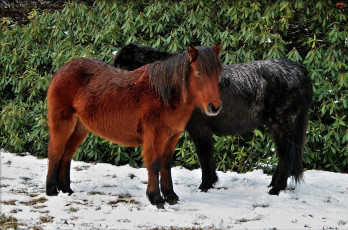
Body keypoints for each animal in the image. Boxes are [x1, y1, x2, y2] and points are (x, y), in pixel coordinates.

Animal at [45, 43, 223, 208]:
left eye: (218, 73)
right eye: (199, 73)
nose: (214, 107)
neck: (162, 93)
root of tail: (62, 69)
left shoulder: (172, 136)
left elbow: (166, 165)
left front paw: (170, 196)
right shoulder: (155, 135)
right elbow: (154, 164)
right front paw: (156, 198)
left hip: (79, 128)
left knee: (67, 155)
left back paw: (66, 189)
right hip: (62, 123)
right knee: (55, 152)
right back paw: (52, 190)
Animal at [113, 42, 314, 195]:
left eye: (121, 67)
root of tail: (300, 72)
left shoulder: (199, 129)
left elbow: (204, 155)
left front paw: (205, 185)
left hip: (282, 125)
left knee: (287, 154)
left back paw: (276, 189)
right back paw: (273, 184)